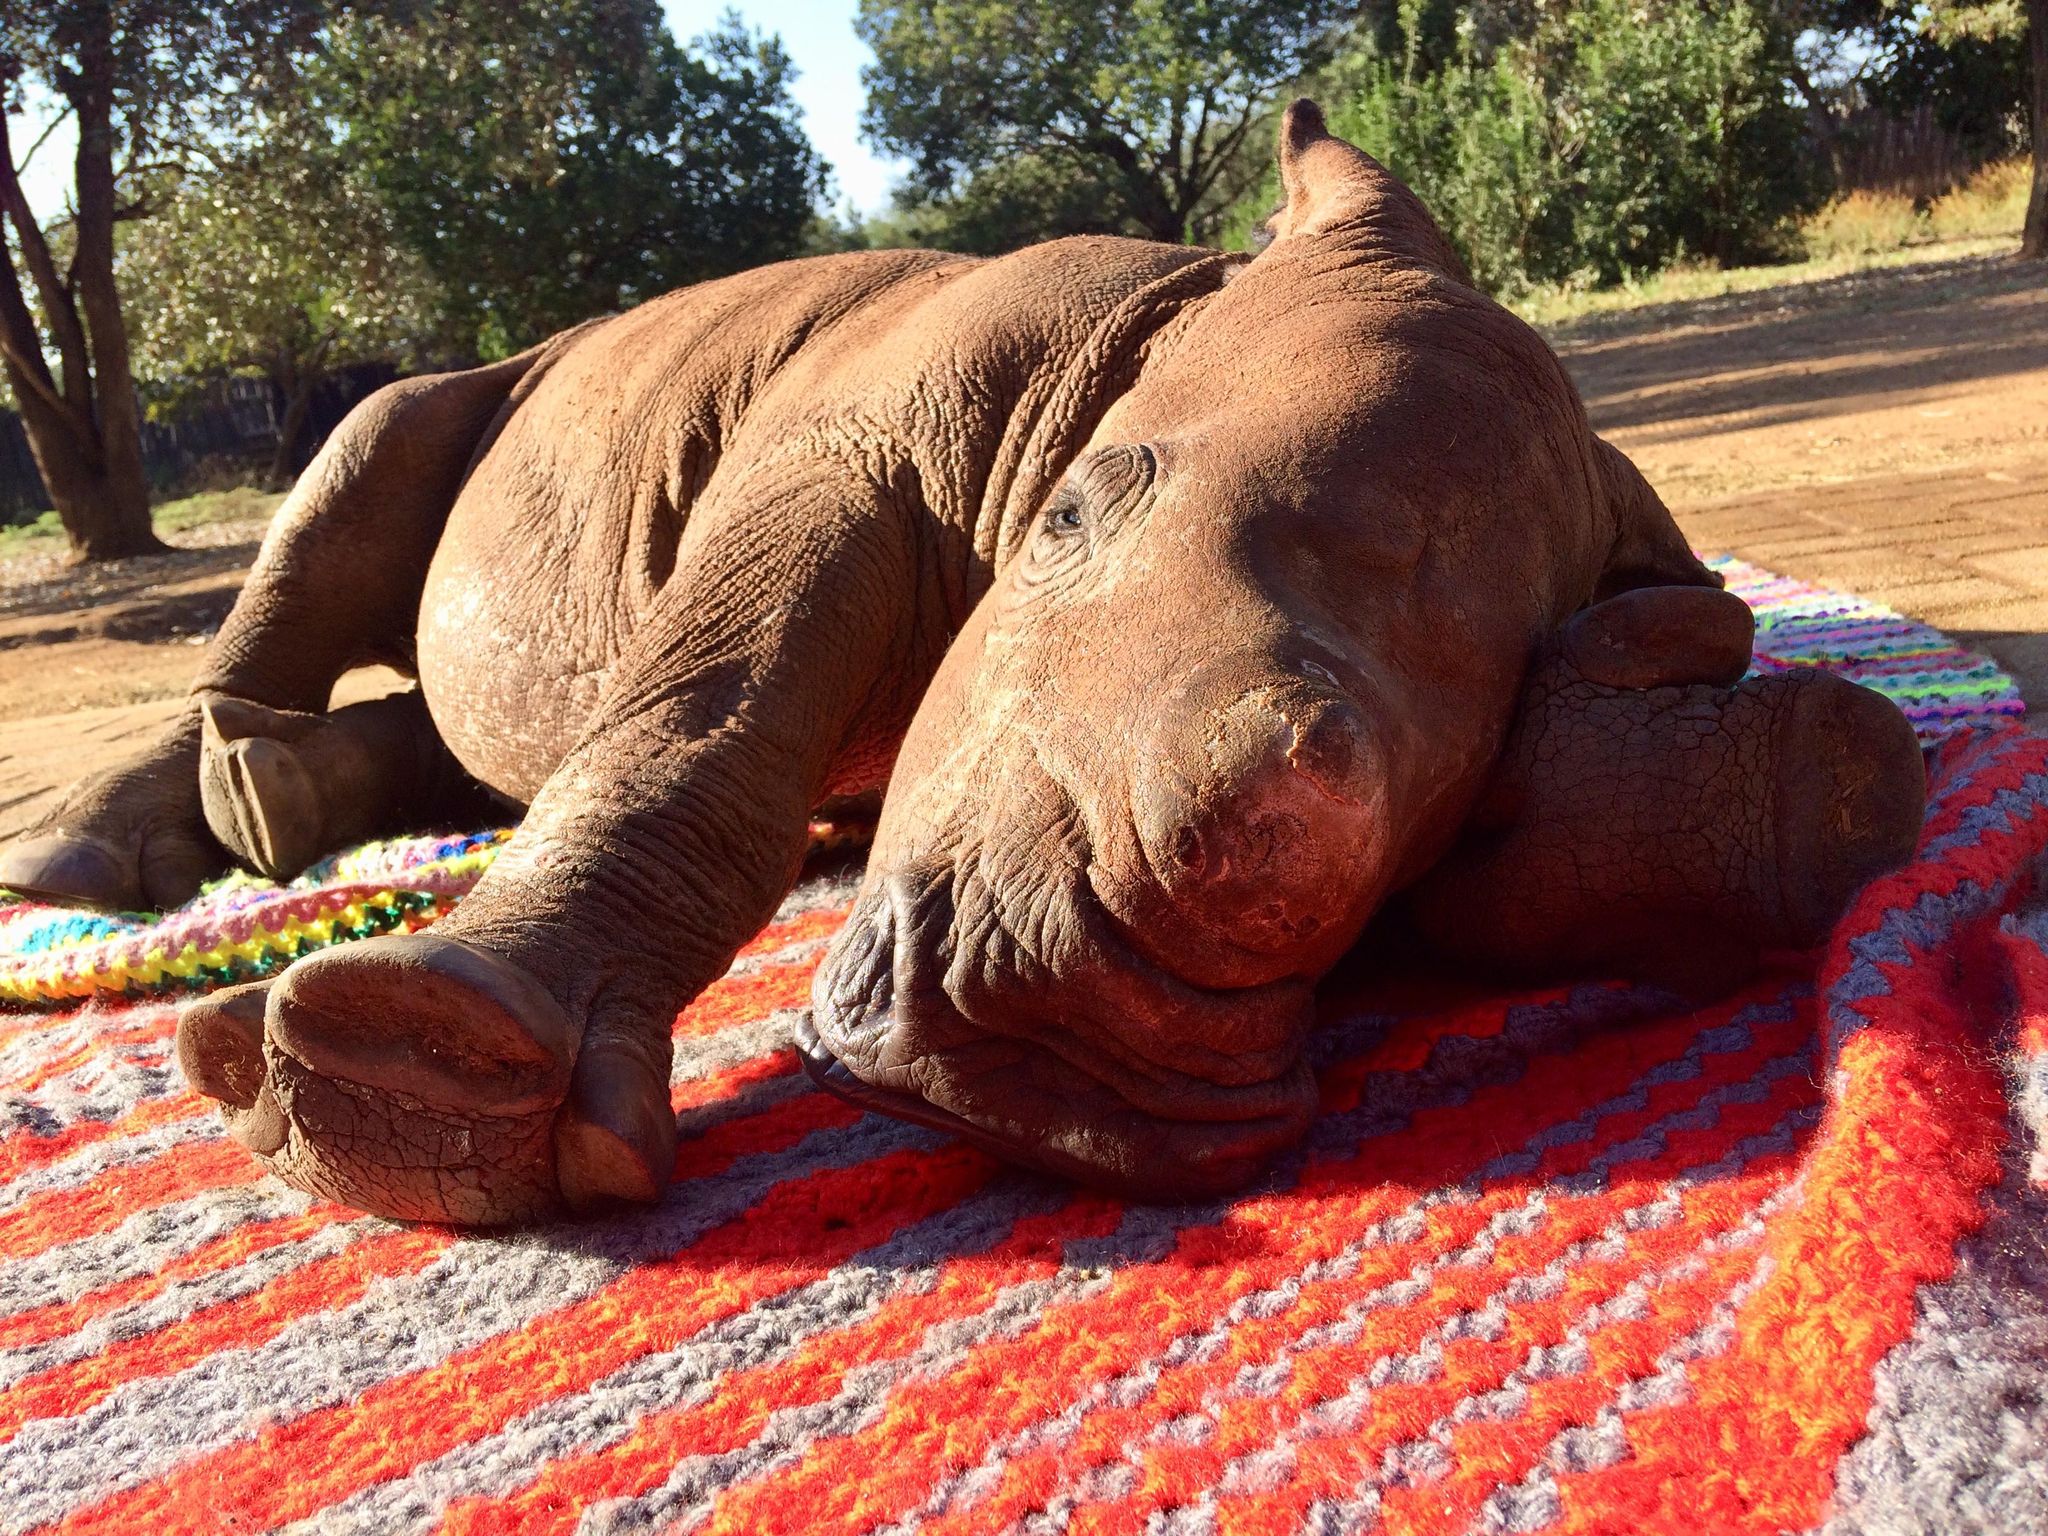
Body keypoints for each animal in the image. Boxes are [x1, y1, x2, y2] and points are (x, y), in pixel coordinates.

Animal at [0, 105, 1923, 1225]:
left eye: (1426, 845)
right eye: (1073, 515)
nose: (1056, 1069)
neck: (1160, 329)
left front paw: (1768, 776)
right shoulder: (849, 449)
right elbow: (704, 715)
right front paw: (417, 1092)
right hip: (511, 379)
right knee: (372, 450)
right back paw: (143, 838)